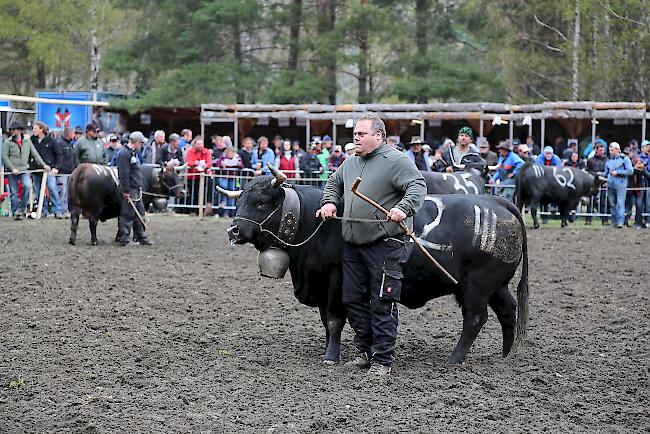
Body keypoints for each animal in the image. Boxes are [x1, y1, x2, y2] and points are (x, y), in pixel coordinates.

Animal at [223, 168, 528, 364]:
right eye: (240, 199)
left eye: (261, 202)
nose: (234, 230)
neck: (316, 223)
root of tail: (494, 201)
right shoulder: (321, 286)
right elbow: (326, 323)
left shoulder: (336, 284)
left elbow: (334, 321)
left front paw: (331, 356)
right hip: (495, 286)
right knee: (508, 311)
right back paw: (505, 356)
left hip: (476, 286)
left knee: (475, 319)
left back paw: (455, 359)